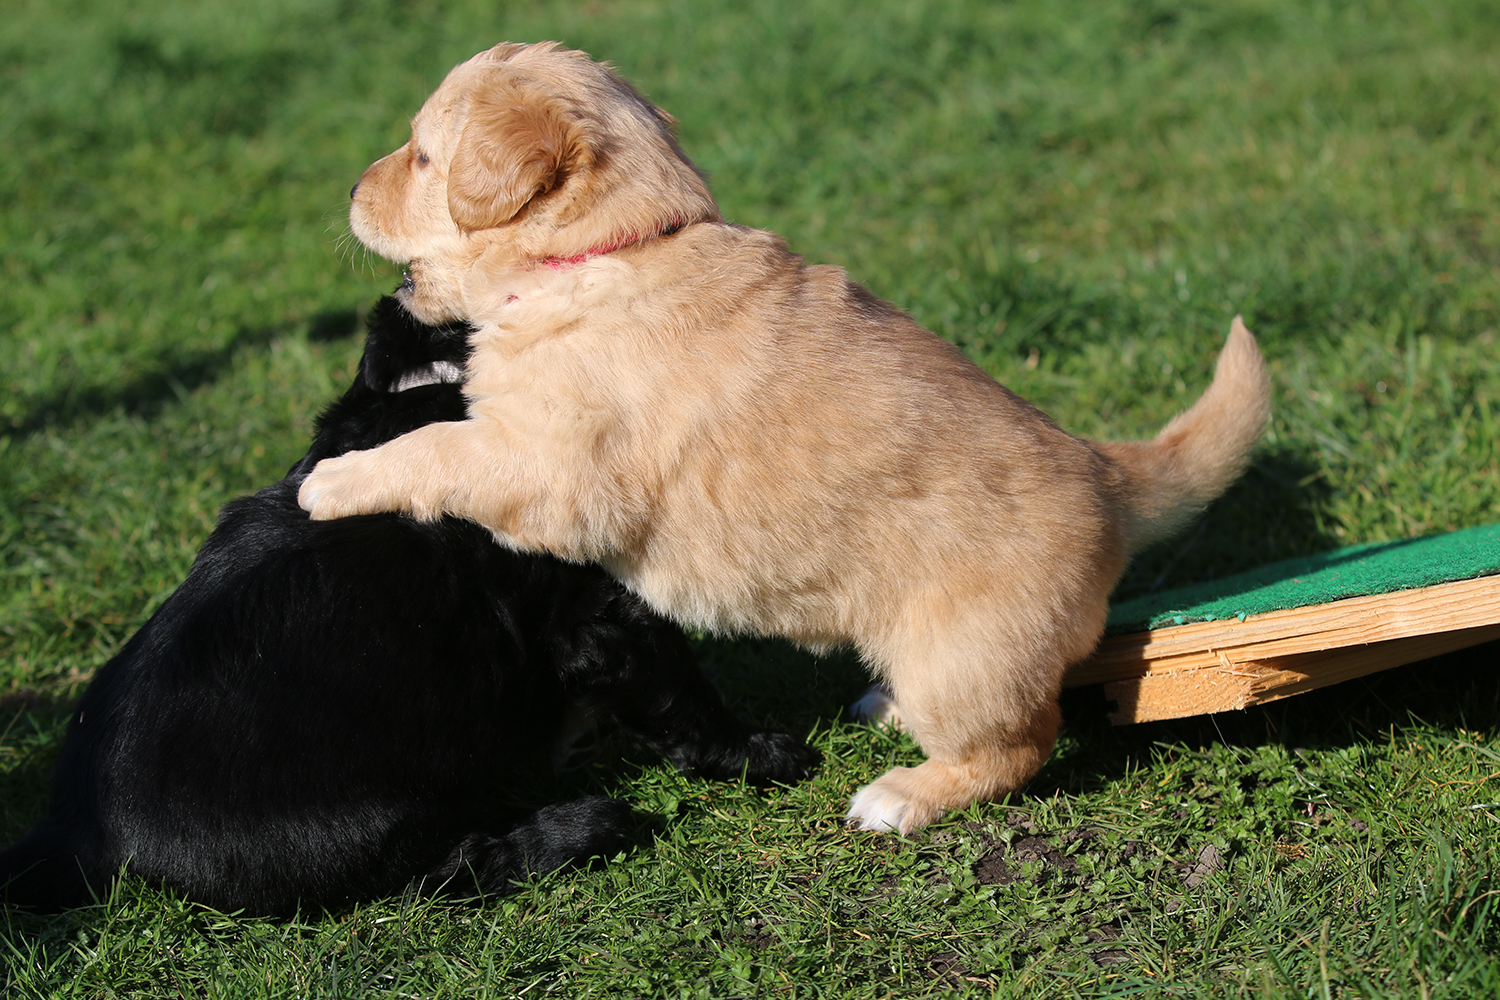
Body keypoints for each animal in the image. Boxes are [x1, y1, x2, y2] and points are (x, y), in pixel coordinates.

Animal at [0, 295, 817, 915]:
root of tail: (74, 832)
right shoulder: (601, 610)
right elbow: (682, 689)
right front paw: (765, 752)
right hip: (361, 824)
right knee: (451, 869)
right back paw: (587, 825)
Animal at [297, 42, 1272, 834]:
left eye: (424, 154)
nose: (343, 190)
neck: (611, 251)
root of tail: (1105, 471)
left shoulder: (555, 469)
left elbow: (438, 448)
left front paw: (332, 480)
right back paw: (885, 707)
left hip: (966, 654)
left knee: (1019, 744)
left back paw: (899, 798)